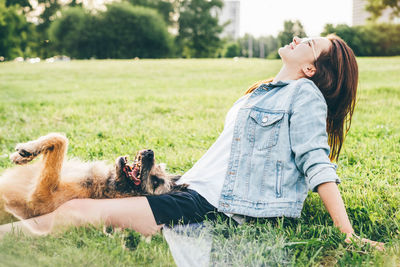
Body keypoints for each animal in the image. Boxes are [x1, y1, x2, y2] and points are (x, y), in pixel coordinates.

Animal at [0, 133, 186, 221]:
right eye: (157, 166)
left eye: (155, 181)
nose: (150, 152)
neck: (107, 185)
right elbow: (58, 141)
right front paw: (22, 156)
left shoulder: (41, 197)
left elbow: (61, 140)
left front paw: (27, 149)